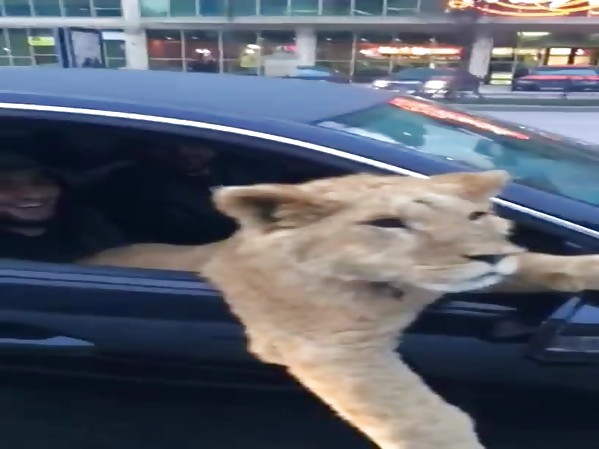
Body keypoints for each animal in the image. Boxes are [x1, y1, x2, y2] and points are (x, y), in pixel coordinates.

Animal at [81, 170, 599, 449]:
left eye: (476, 215)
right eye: (388, 224)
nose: (489, 256)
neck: (393, 287)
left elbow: (543, 264)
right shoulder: (335, 351)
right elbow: (420, 420)